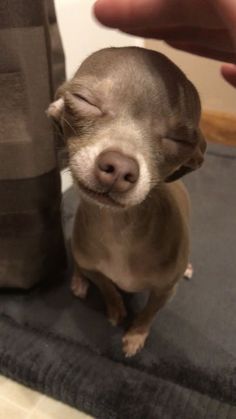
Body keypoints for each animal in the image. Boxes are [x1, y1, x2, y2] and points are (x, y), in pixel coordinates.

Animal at [47, 47, 205, 356]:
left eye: (178, 140)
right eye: (84, 100)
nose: (119, 168)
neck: (119, 228)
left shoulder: (165, 291)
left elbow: (149, 313)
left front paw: (135, 335)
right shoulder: (97, 269)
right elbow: (107, 286)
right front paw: (115, 309)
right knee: (80, 266)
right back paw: (78, 281)